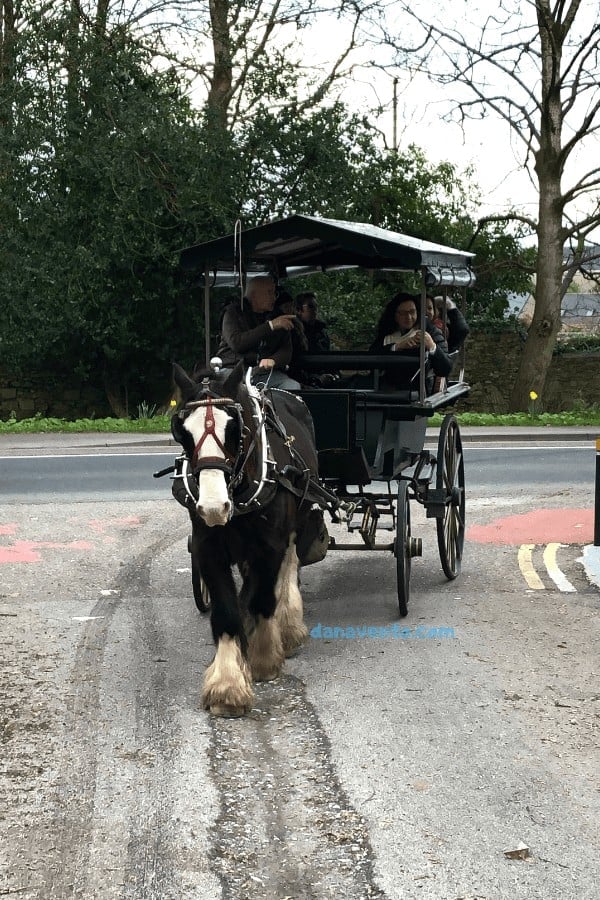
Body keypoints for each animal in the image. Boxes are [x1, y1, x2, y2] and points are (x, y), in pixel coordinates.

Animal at [170, 360, 332, 716]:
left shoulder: (269, 546)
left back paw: (288, 626)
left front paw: (263, 658)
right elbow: (227, 612)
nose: (214, 506)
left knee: (289, 568)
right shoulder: (208, 548)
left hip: (297, 517)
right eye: (182, 433)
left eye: (235, 430)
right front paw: (227, 684)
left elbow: (263, 598)